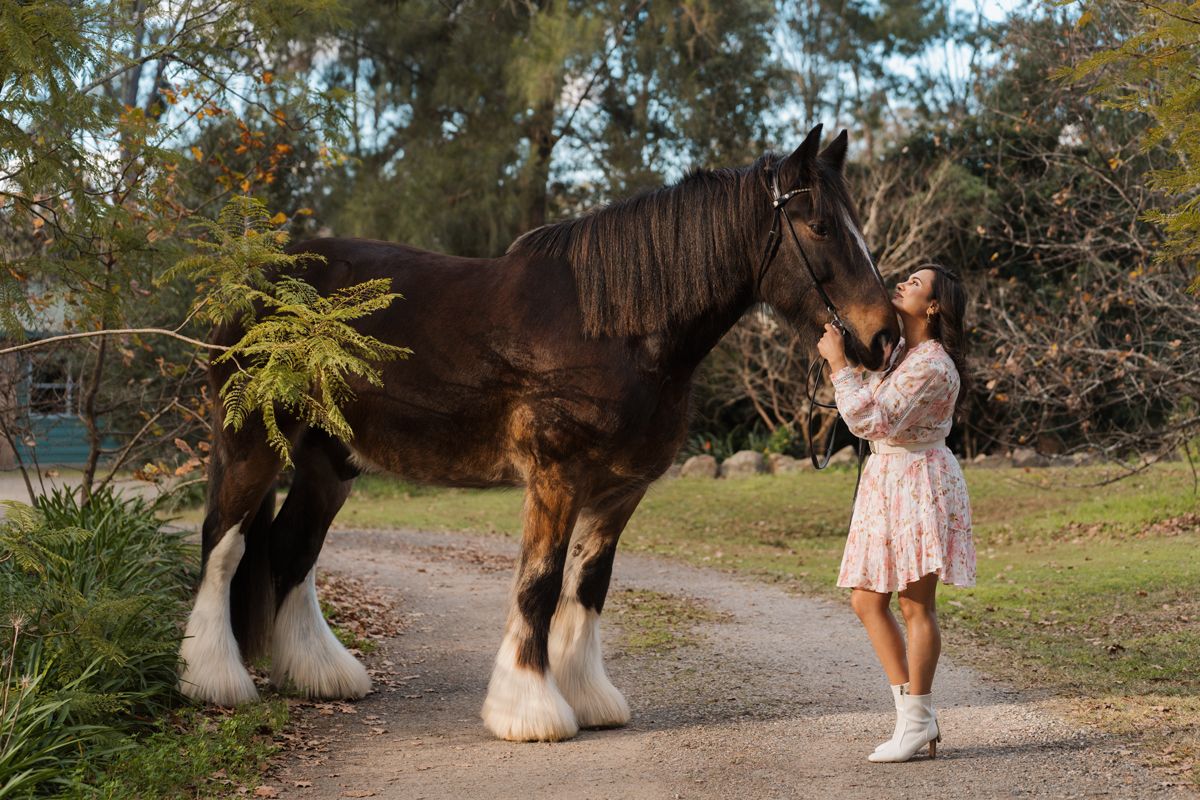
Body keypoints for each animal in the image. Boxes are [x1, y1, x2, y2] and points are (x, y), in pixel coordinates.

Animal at [178, 124, 899, 742]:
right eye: (818, 225)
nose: (883, 336)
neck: (616, 326)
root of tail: (252, 284)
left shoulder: (620, 489)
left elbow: (588, 584)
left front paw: (587, 698)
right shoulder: (556, 477)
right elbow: (541, 582)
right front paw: (529, 710)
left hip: (329, 463)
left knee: (291, 552)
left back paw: (319, 674)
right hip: (250, 444)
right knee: (223, 543)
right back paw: (212, 680)